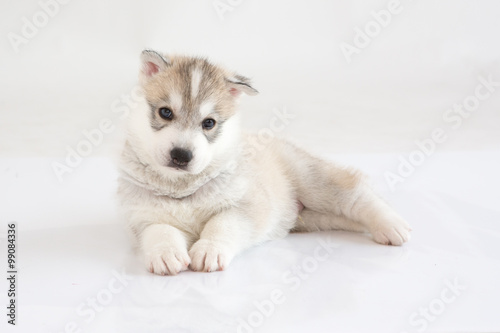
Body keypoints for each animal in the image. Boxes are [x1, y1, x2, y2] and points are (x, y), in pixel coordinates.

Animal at [117, 48, 410, 272]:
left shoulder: (246, 206)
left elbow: (221, 224)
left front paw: (210, 249)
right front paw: (165, 253)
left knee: (357, 195)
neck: (182, 188)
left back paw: (391, 226)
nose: (181, 155)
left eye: (209, 123)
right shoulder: (142, 216)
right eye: (165, 112)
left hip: (313, 179)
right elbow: (160, 230)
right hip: (314, 218)